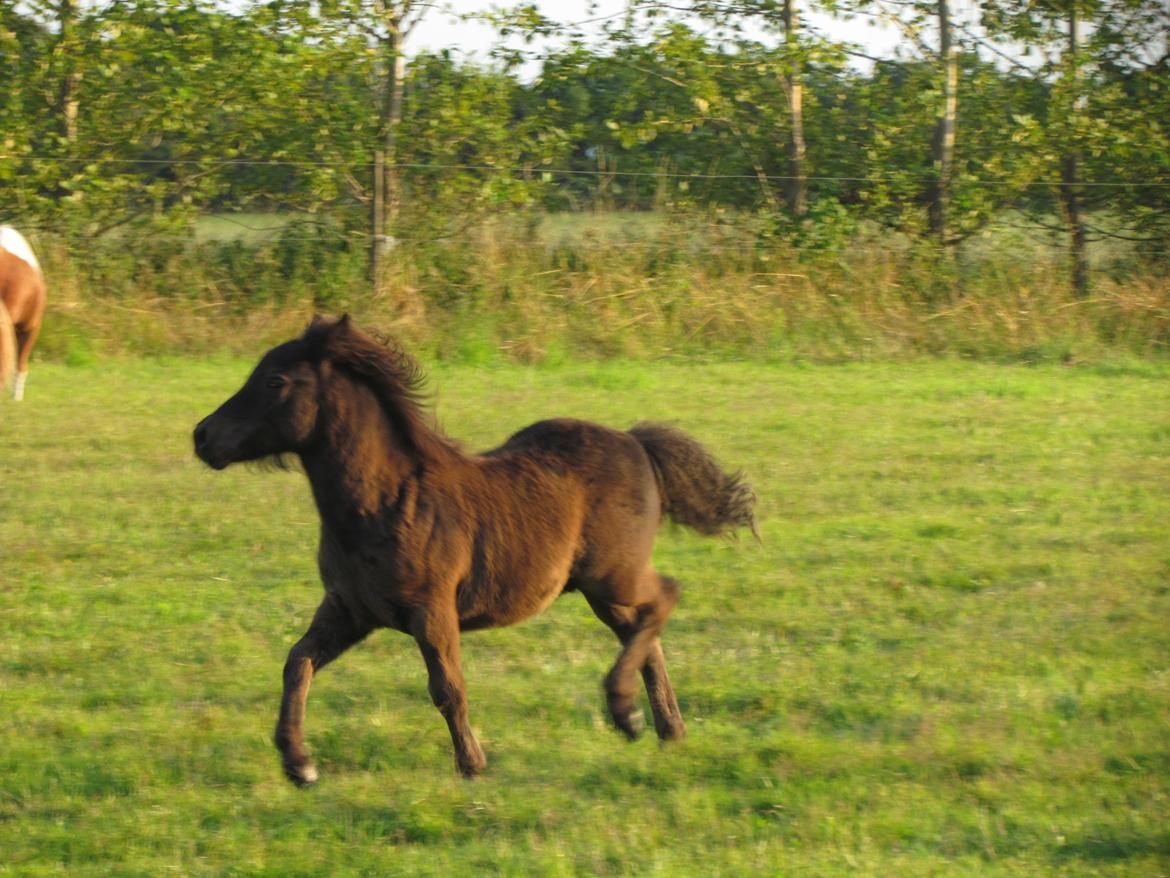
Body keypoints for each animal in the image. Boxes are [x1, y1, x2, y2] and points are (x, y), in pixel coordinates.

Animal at [191, 320, 758, 786]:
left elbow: (447, 687)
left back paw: (627, 712)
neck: (384, 503)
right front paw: (300, 764)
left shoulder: (432, 610)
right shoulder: (348, 611)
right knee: (647, 634)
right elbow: (297, 662)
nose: (202, 436)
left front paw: (472, 765)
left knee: (666, 596)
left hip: (612, 575)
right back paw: (663, 727)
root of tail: (634, 440)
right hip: (603, 592)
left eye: (275, 382)